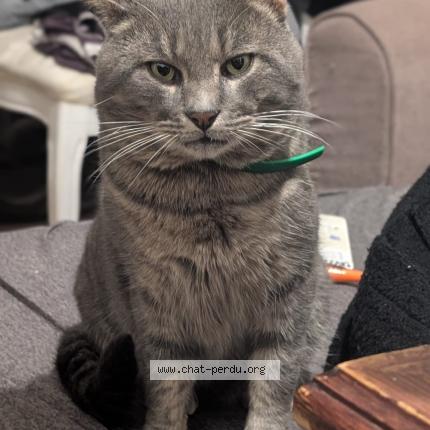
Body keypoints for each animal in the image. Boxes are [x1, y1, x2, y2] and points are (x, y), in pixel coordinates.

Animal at [56, 1, 325, 429]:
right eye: (162, 70)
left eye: (238, 64)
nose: (203, 115)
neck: (211, 200)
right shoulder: (154, 301)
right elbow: (166, 385)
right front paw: (168, 419)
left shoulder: (289, 288)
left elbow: (275, 378)